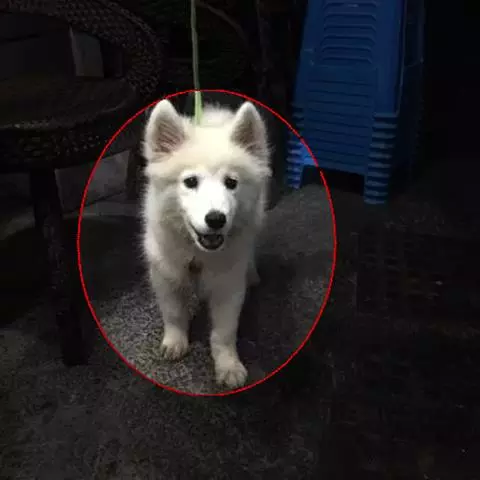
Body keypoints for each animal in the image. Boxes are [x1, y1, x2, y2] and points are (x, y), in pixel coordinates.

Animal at [142, 98, 271, 389]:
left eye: (231, 182)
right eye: (190, 182)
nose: (215, 219)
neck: (197, 253)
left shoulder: (228, 286)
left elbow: (223, 333)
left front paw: (228, 367)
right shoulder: (164, 275)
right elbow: (173, 313)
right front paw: (174, 343)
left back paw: (253, 274)